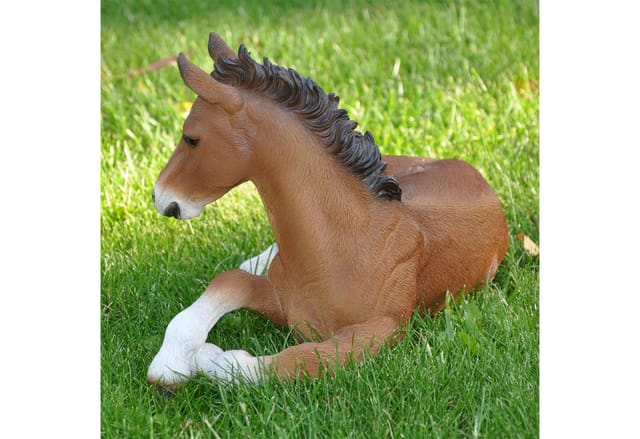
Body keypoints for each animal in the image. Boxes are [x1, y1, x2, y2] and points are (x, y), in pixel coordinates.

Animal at [147, 33, 509, 388]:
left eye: (191, 138)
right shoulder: (280, 299)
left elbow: (301, 360)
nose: (160, 197)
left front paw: (207, 358)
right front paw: (171, 362)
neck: (342, 247)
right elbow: (230, 281)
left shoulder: (385, 328)